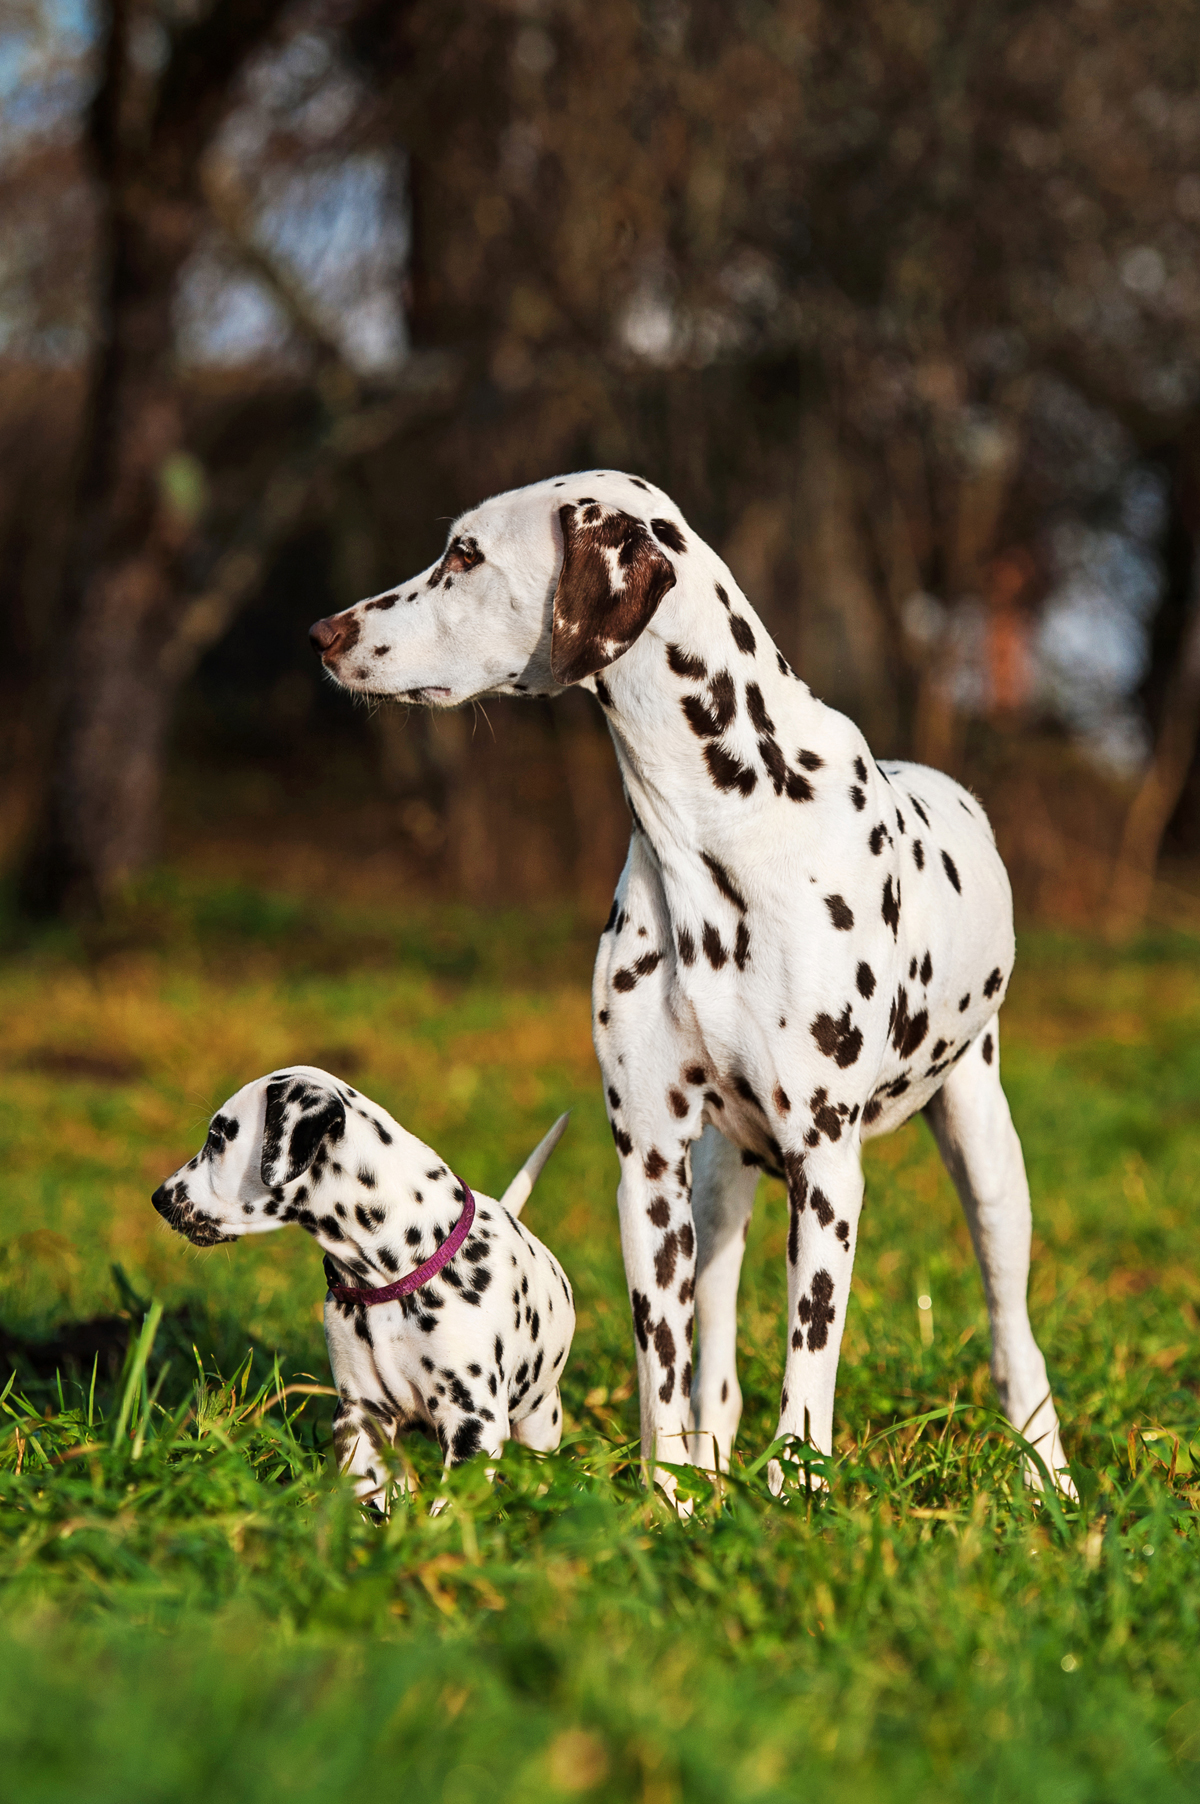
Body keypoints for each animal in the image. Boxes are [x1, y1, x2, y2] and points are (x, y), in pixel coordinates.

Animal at [152, 1060, 573, 1500]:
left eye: (217, 1137)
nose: (159, 1198)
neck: (392, 1277)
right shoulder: (360, 1414)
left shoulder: (473, 1422)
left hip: (539, 1422)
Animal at [308, 472, 1075, 1500]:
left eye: (465, 555)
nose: (324, 632)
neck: (718, 826)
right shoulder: (648, 1167)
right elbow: (661, 1364)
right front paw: (668, 1495)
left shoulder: (828, 1170)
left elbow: (810, 1358)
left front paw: (799, 1490)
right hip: (718, 1187)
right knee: (713, 1344)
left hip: (987, 1157)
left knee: (1011, 1328)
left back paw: (1047, 1471)